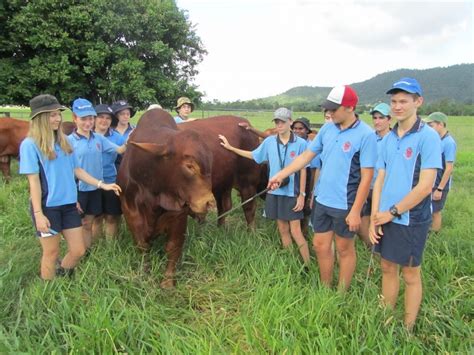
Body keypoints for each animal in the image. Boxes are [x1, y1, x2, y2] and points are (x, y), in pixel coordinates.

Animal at [117, 109, 216, 290]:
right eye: (189, 166)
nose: (209, 203)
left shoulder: (178, 213)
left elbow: (173, 246)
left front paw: (168, 281)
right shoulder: (129, 209)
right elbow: (142, 244)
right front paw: (145, 272)